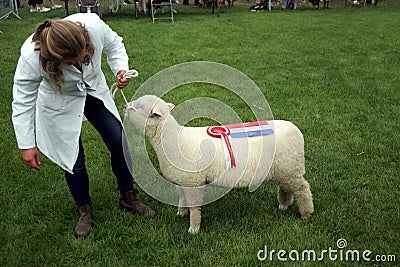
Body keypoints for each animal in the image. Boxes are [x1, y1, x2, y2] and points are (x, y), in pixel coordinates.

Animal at [125, 95, 312, 233]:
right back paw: (283, 206)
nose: (125, 107)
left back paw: (306, 214)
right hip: (284, 169)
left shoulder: (194, 182)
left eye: (139, 107)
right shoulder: (183, 180)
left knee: (303, 189)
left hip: (291, 168)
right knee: (285, 188)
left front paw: (193, 229)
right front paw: (180, 214)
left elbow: (194, 207)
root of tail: (296, 129)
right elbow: (182, 199)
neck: (172, 139)